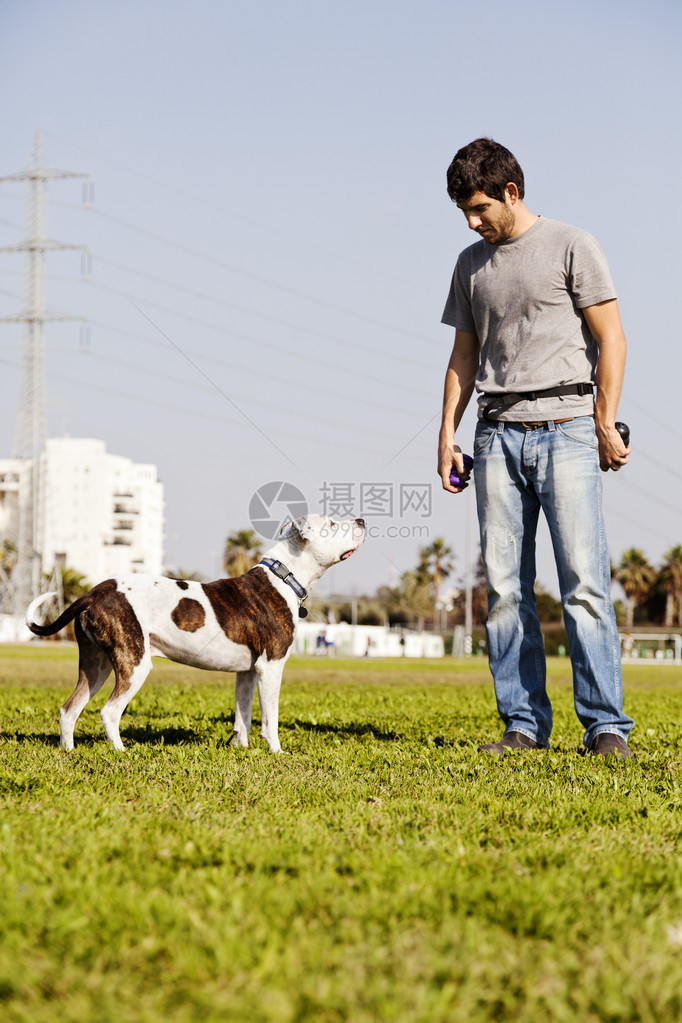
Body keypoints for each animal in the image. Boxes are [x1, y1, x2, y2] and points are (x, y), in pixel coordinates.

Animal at [26, 515, 366, 757]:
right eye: (332, 524)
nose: (362, 521)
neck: (283, 576)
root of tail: (95, 592)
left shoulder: (247, 673)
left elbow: (242, 717)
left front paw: (241, 750)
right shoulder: (270, 668)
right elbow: (270, 719)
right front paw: (277, 752)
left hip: (96, 665)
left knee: (69, 709)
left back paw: (68, 752)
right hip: (134, 664)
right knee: (109, 712)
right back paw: (121, 752)